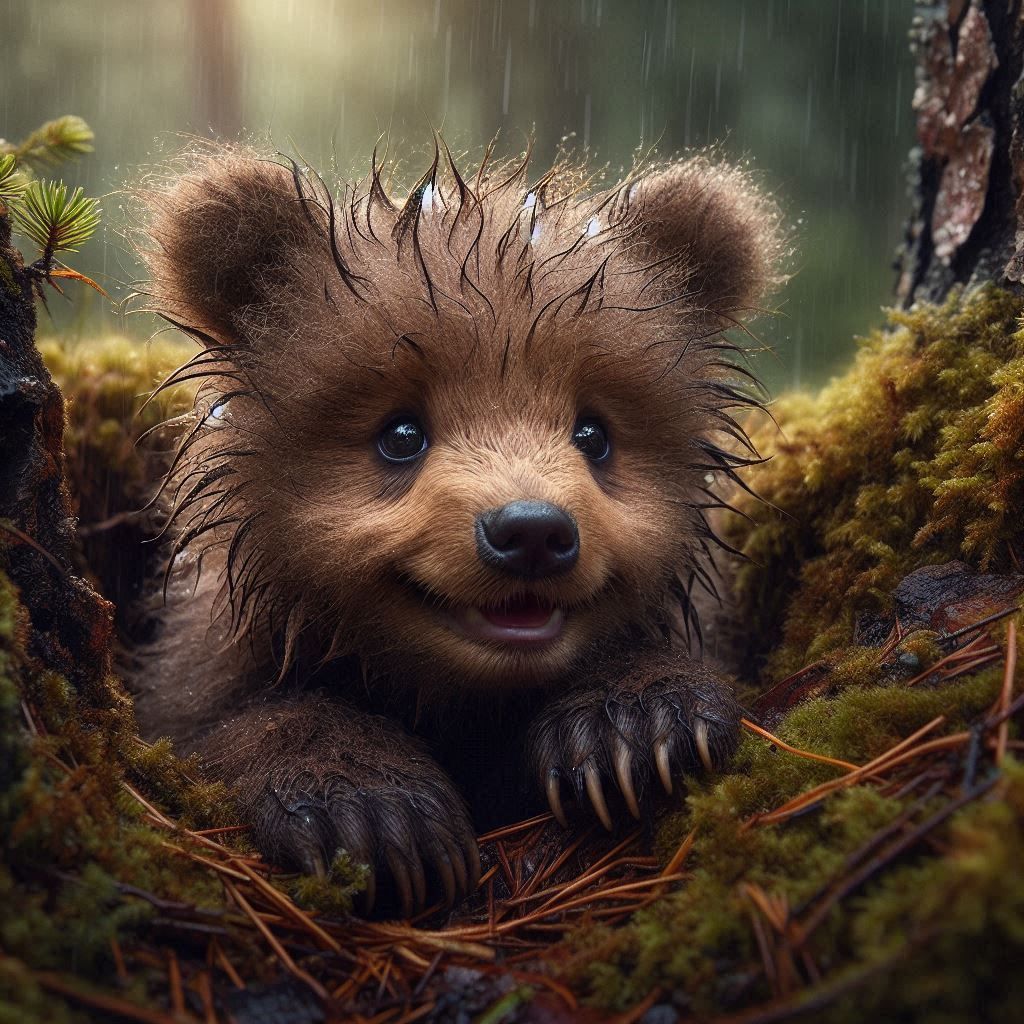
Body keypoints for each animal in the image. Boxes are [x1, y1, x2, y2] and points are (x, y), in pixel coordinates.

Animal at [130, 140, 784, 917]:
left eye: (593, 433)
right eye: (401, 433)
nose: (531, 531)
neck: (462, 702)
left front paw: (636, 720)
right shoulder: (203, 668)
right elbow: (230, 721)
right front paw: (368, 806)